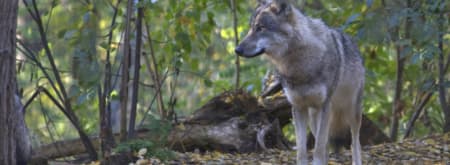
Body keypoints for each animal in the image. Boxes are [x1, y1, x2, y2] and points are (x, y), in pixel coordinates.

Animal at [236, 0, 366, 164]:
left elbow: (318, 149)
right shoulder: (298, 107)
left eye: (260, 28)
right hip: (313, 117)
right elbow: (303, 149)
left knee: (355, 142)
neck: (300, 65)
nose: (236, 50)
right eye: (250, 28)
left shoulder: (324, 106)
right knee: (326, 145)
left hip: (351, 112)